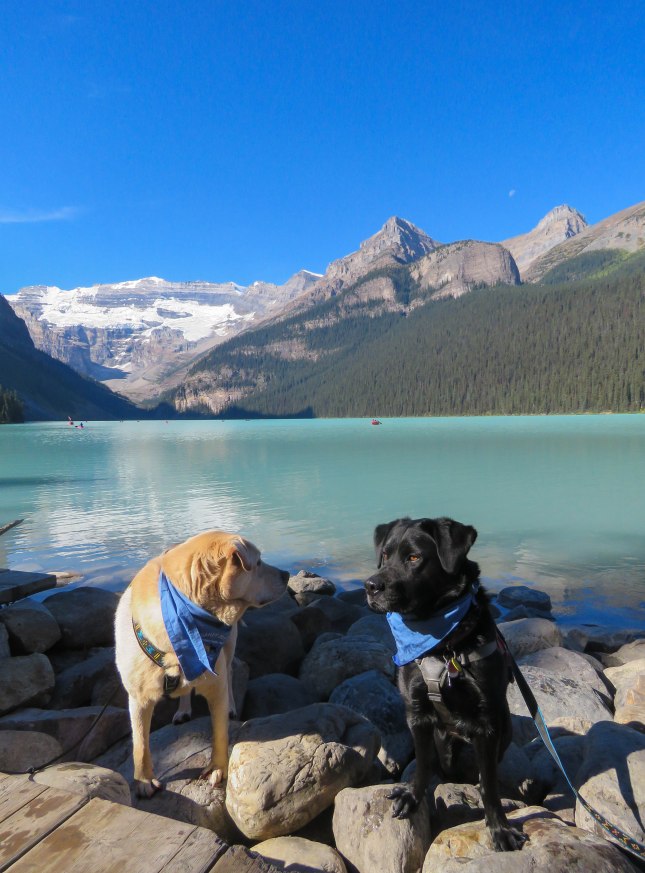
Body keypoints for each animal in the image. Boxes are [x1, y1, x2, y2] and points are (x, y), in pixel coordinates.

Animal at [115, 530, 289, 798]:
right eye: (258, 562)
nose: (287, 575)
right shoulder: (138, 699)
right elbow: (140, 743)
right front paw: (143, 780)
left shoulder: (216, 687)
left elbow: (220, 731)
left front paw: (217, 769)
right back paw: (183, 709)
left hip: (229, 644)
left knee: (230, 671)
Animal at [364, 516, 526, 852]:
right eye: (384, 555)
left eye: (414, 557)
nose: (371, 586)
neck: (443, 645)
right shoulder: (417, 713)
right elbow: (423, 764)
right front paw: (412, 797)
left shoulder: (487, 722)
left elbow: (489, 782)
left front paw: (500, 828)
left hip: (504, 725)